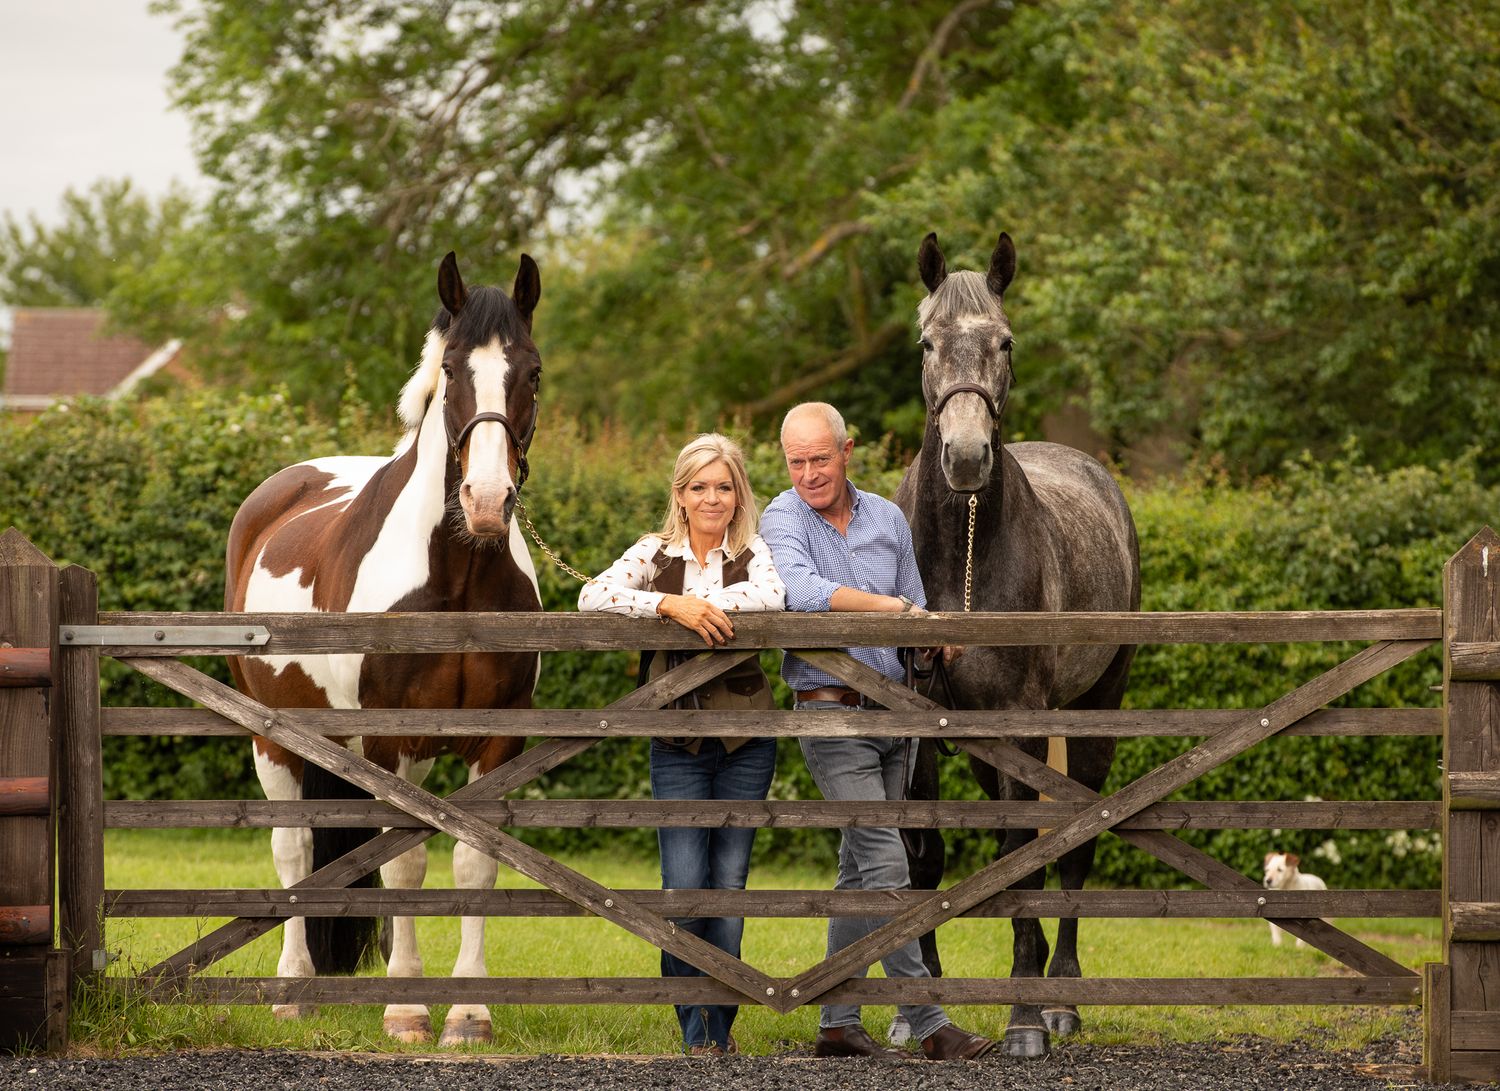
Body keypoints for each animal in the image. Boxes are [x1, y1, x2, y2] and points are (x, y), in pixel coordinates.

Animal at [225, 251, 544, 1045]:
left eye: (532, 370)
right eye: (453, 368)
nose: (486, 501)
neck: (457, 576)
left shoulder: (499, 740)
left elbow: (474, 864)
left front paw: (468, 1012)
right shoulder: (391, 740)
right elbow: (403, 867)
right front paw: (405, 1008)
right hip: (276, 740)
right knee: (295, 851)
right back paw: (294, 989)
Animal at [892, 231, 1141, 1058]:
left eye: (1005, 341)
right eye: (926, 342)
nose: (967, 457)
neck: (960, 553)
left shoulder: (1023, 725)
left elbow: (1025, 858)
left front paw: (1025, 1018)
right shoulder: (920, 722)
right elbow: (927, 855)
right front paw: (917, 1006)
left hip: (1096, 710)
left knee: (1075, 842)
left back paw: (1061, 997)